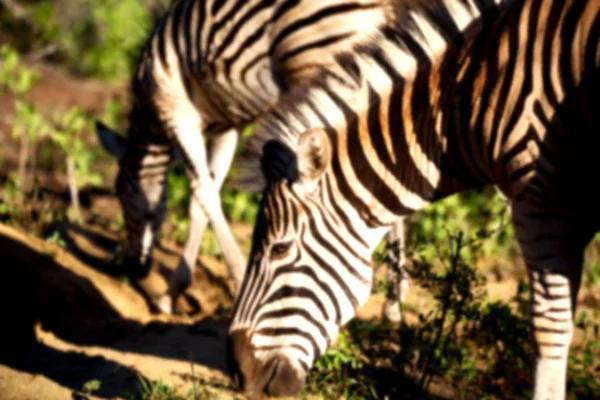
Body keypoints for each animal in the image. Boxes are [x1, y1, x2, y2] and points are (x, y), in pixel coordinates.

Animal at [94, 0, 410, 316]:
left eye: (119, 194)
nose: (133, 270)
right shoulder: (227, 127)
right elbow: (202, 199)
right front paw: (174, 291)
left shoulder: (178, 113)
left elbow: (204, 193)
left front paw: (236, 279)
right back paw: (393, 301)